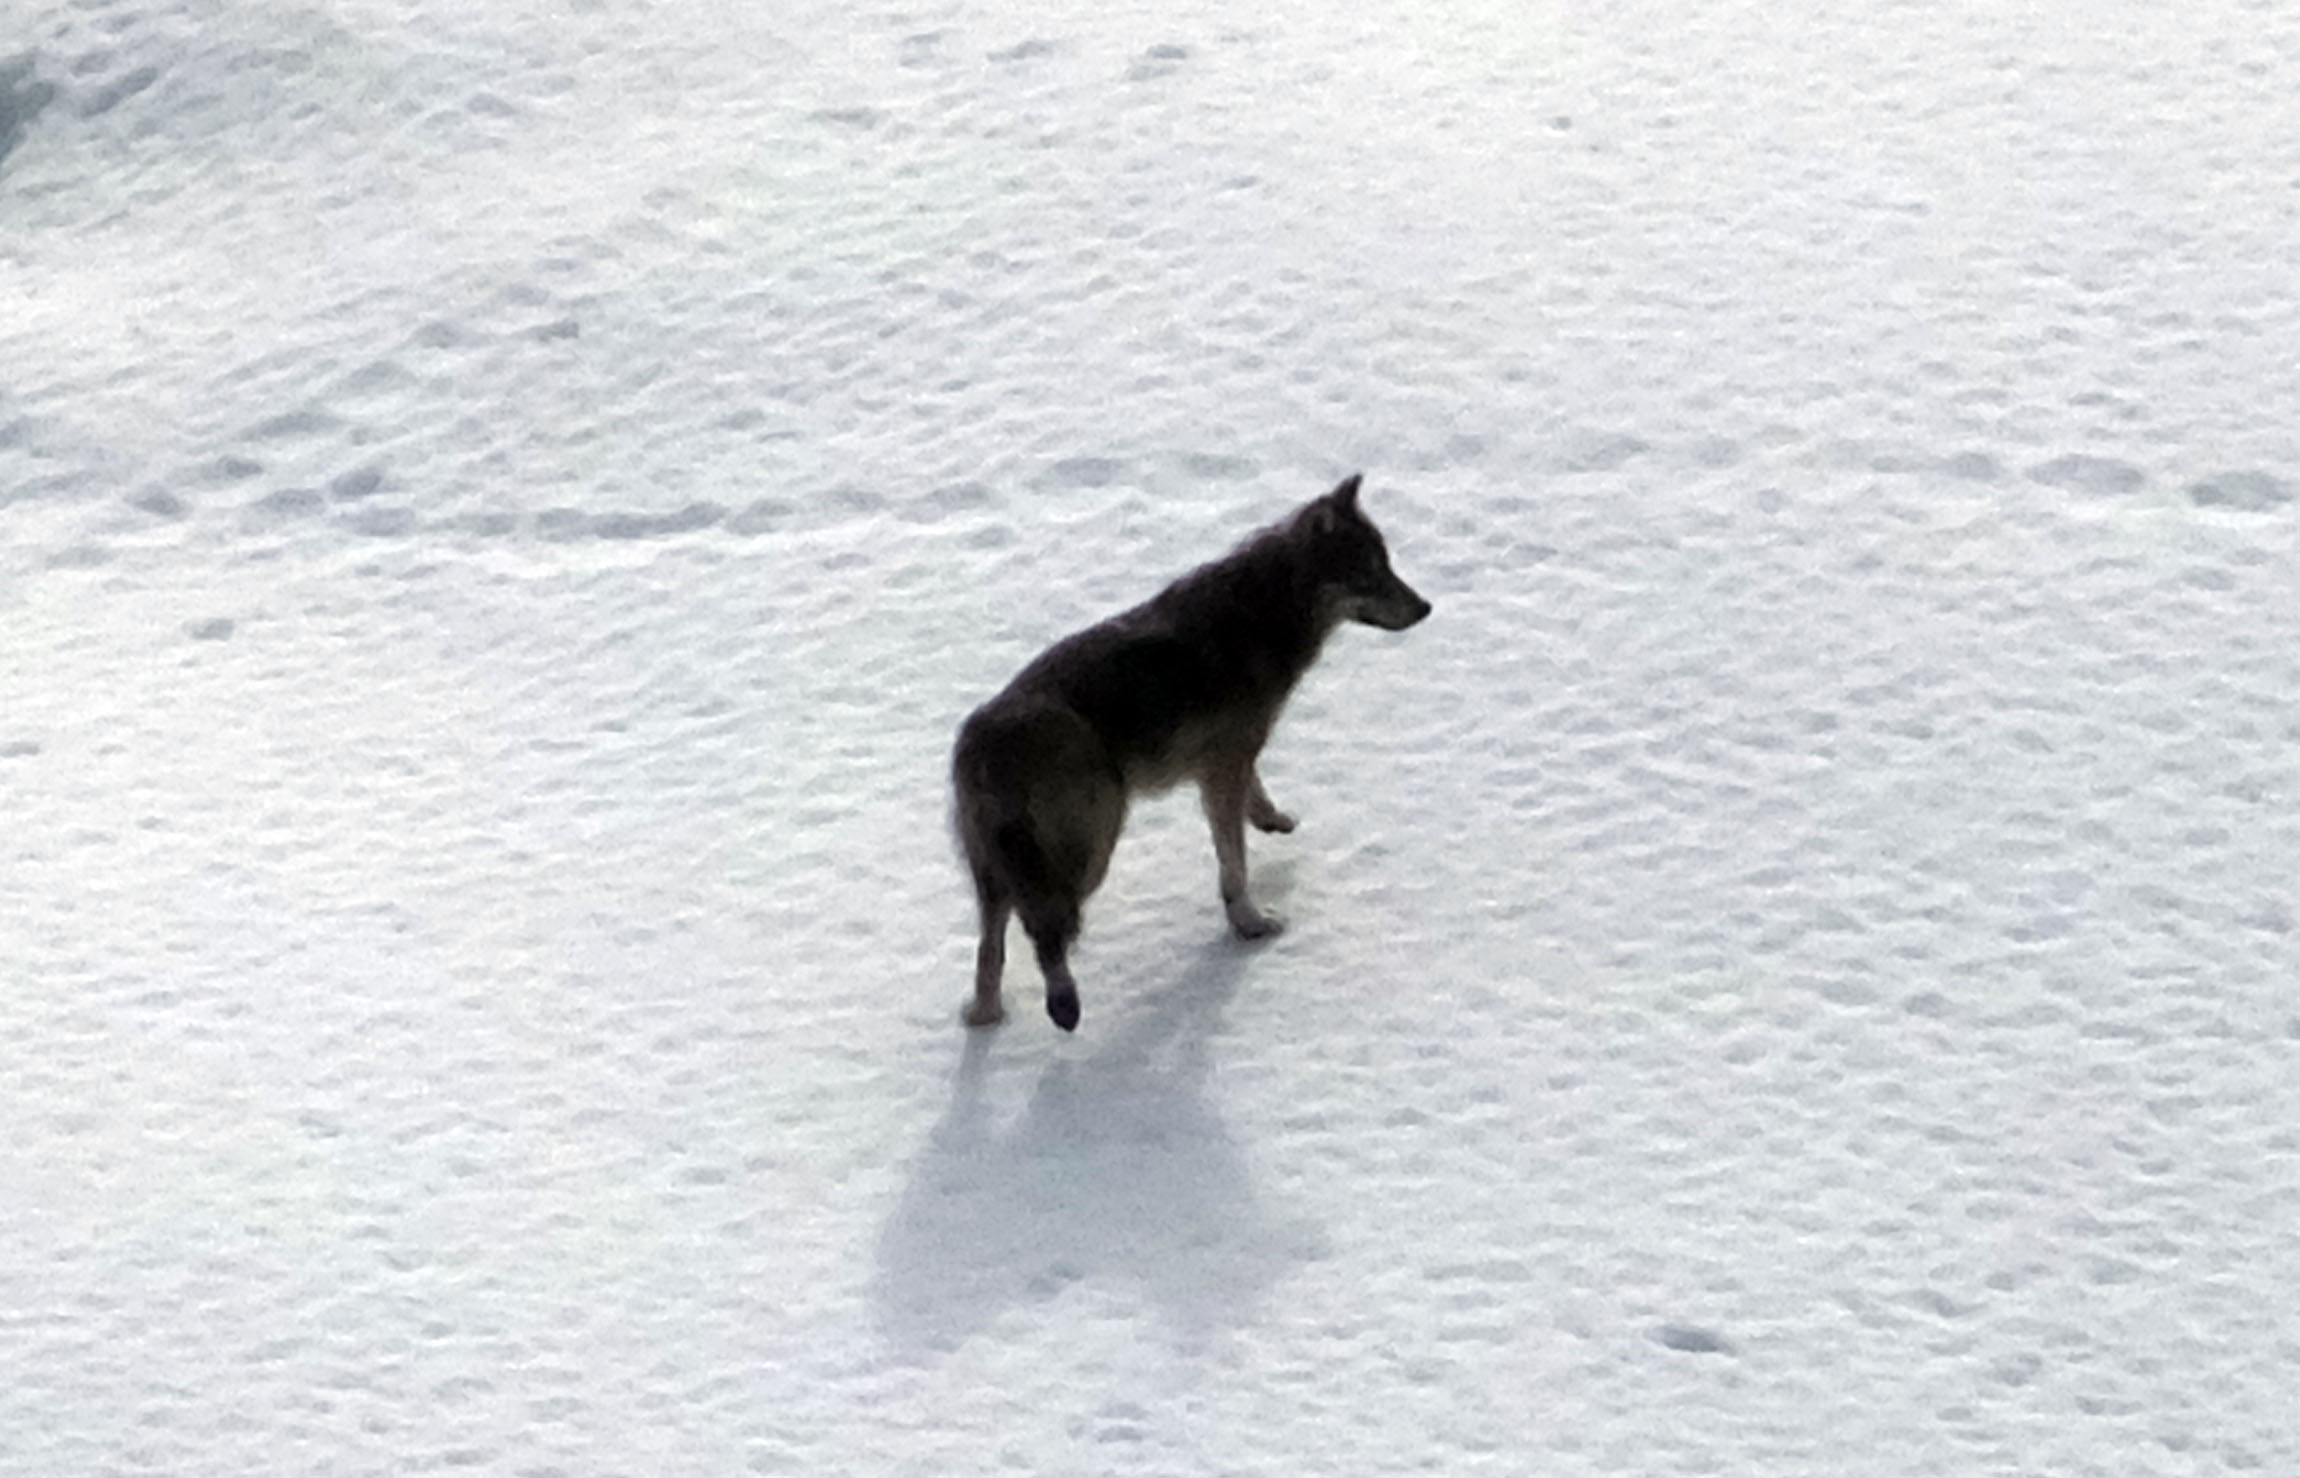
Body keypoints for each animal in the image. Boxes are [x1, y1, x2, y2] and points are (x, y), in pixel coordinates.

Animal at [951, 473, 1431, 1031]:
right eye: (1370, 572)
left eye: (1387, 564)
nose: (1426, 608)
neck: (1265, 610)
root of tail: (981, 741)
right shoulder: (1223, 767)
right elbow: (1234, 864)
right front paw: (1250, 923)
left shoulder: (1229, 760)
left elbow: (1253, 797)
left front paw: (1271, 819)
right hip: (1092, 848)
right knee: (1042, 931)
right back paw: (1062, 1003)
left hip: (998, 871)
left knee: (992, 945)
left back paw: (986, 1016)